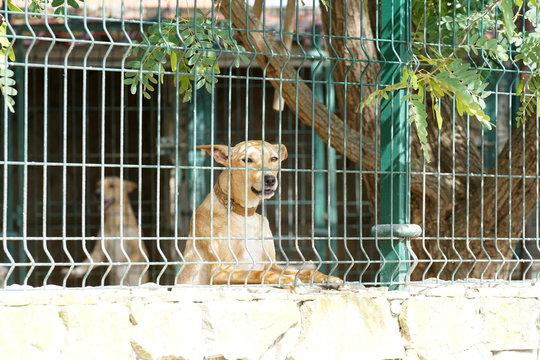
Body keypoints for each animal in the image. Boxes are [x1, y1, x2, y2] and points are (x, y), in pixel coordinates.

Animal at [177, 141, 342, 286]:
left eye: (274, 158)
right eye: (247, 160)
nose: (270, 179)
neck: (244, 214)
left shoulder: (272, 264)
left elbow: (304, 272)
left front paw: (328, 278)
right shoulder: (220, 271)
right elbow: (259, 273)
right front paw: (285, 280)